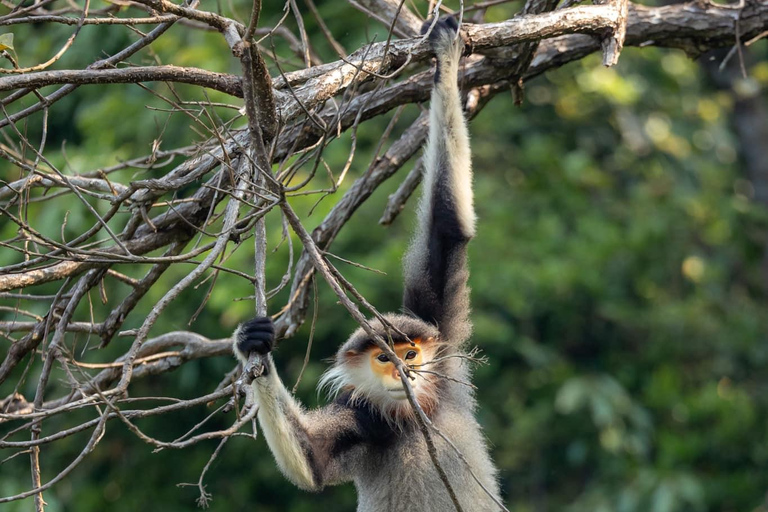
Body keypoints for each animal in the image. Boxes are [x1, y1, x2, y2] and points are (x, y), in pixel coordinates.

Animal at [231, 17, 500, 512]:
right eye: (384, 358)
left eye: (411, 353)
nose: (406, 371)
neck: (408, 413)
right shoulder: (359, 417)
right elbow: (313, 462)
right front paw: (253, 344)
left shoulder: (442, 343)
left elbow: (447, 227)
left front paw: (444, 57)